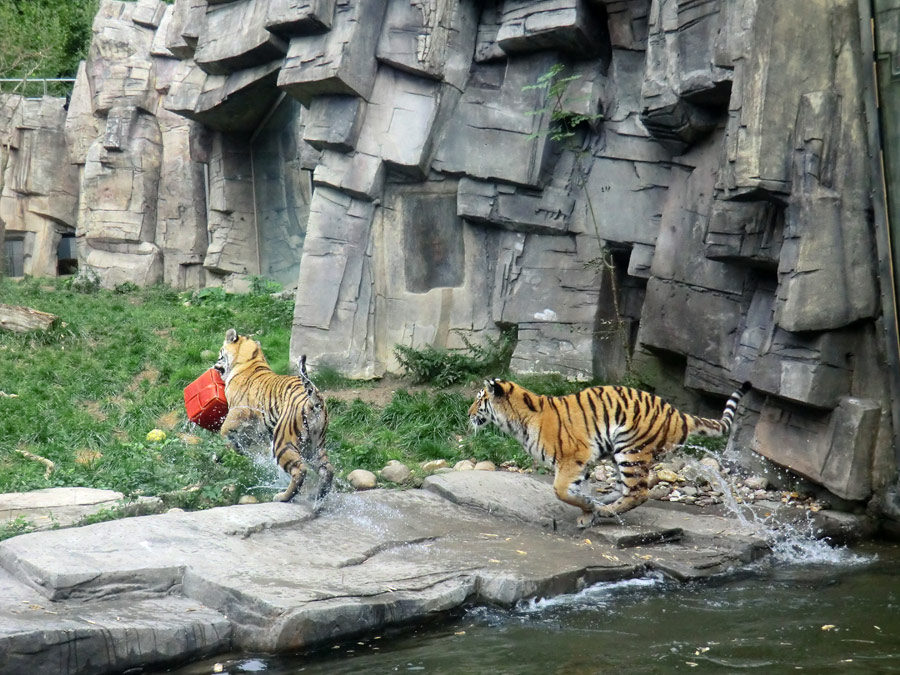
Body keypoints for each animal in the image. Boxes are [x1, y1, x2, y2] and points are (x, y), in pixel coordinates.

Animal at [214, 330, 334, 504]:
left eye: (220, 353)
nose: (214, 366)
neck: (251, 359)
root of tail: (314, 400)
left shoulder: (238, 411)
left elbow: (225, 431)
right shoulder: (257, 428)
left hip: (283, 441)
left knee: (299, 470)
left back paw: (283, 497)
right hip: (314, 445)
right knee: (328, 470)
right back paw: (318, 496)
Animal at [468, 380, 748, 528]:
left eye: (479, 400)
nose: (468, 413)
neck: (518, 419)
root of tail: (679, 414)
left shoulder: (572, 458)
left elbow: (561, 491)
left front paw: (590, 511)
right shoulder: (582, 465)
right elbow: (579, 491)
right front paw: (588, 511)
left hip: (631, 450)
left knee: (639, 492)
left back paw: (606, 511)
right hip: (619, 453)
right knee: (628, 488)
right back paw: (605, 502)